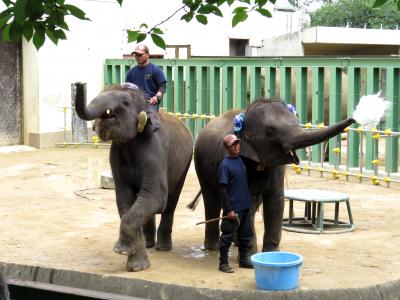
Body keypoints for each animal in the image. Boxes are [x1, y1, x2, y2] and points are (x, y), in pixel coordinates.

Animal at [76, 82, 194, 272]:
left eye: (125, 102)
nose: (79, 84)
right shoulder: (116, 158)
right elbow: (126, 201)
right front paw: (136, 265)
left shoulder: (155, 152)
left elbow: (156, 196)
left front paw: (121, 250)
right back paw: (149, 244)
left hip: (185, 161)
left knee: (170, 201)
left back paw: (163, 247)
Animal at [194, 99, 354, 252]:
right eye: (270, 131)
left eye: (297, 119)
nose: (353, 117)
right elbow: (248, 204)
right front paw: (251, 256)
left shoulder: (276, 170)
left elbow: (276, 201)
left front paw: (271, 253)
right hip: (202, 167)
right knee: (212, 202)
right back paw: (212, 248)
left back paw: (235, 243)